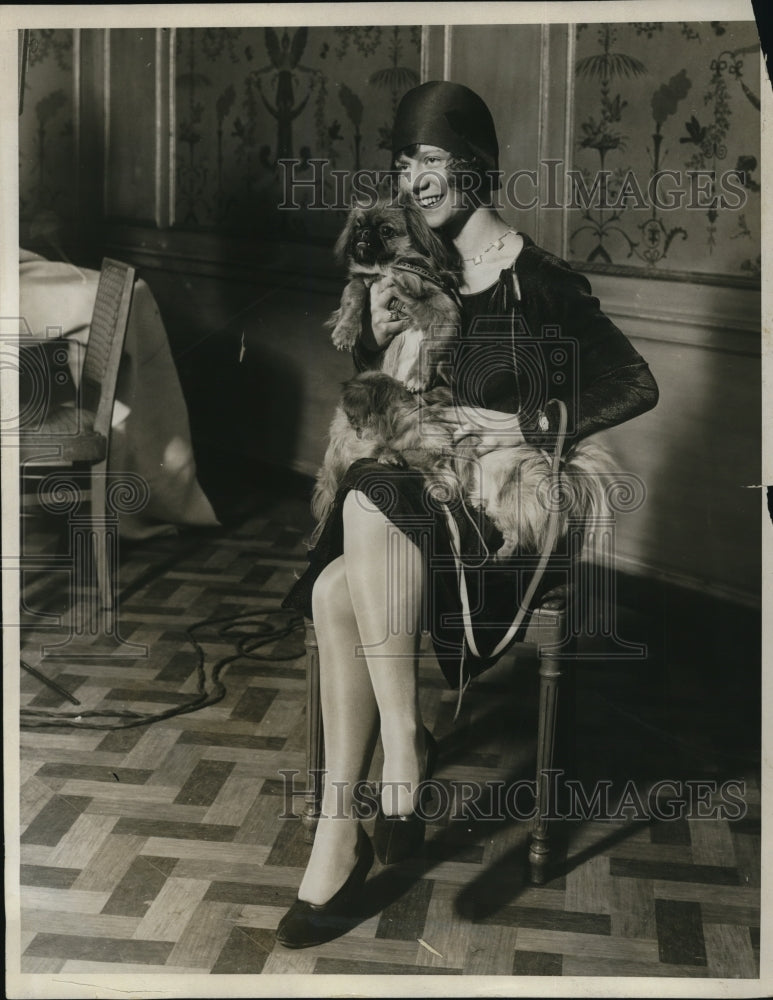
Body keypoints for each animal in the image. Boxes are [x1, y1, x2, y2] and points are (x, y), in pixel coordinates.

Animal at [324, 191, 458, 390]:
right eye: (357, 226)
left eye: (386, 230)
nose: (363, 232)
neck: (385, 266)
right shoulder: (359, 281)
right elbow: (354, 298)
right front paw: (345, 331)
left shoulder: (446, 313)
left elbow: (430, 346)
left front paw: (418, 375)